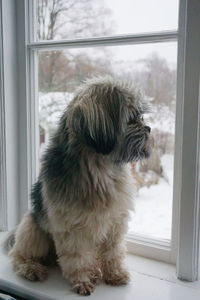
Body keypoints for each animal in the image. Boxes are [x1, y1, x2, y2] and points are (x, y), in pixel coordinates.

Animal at [5, 76, 150, 296]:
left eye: (141, 117)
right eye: (133, 119)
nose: (148, 129)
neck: (99, 169)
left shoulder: (115, 223)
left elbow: (113, 251)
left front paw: (114, 273)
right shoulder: (72, 229)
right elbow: (77, 258)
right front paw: (82, 280)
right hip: (33, 228)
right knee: (18, 255)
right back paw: (31, 268)